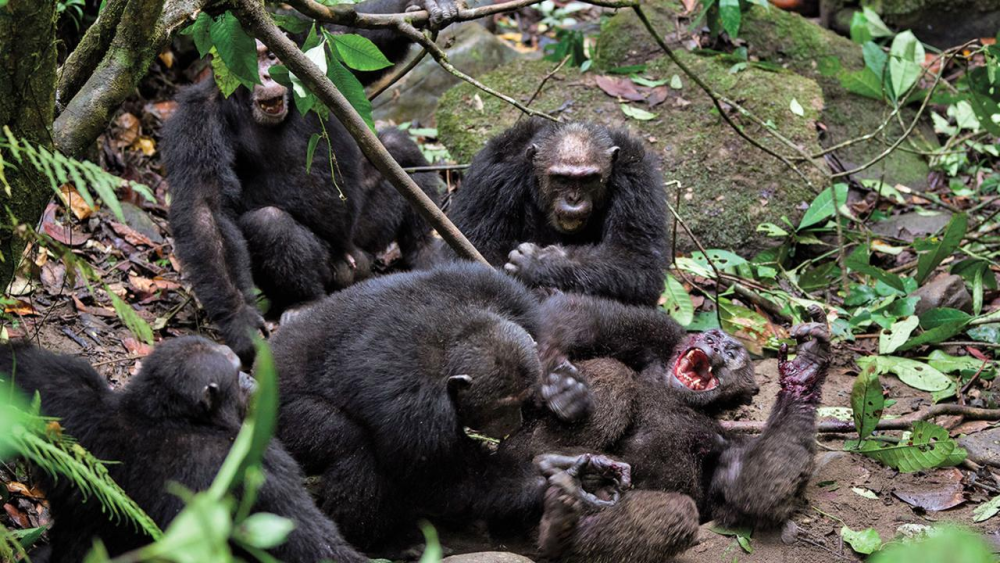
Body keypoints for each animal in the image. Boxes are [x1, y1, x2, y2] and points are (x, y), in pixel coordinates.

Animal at [0, 338, 368, 560]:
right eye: (236, 370)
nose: (250, 379)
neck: (168, 419)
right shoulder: (261, 467)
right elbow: (307, 540)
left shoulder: (72, 391)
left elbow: (20, 366)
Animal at [163, 0, 460, 366]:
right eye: (251, 59)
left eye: (271, 55)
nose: (266, 73)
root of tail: (352, 262)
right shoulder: (195, 122)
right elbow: (205, 207)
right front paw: (240, 322)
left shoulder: (306, 56)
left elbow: (353, 36)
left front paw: (426, 7)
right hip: (329, 267)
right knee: (268, 224)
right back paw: (304, 303)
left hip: (365, 233)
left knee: (396, 148)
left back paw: (424, 251)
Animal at [448, 117, 672, 306]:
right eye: (561, 179)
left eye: (588, 179)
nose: (574, 198)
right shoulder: (491, 177)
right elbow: (473, 249)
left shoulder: (638, 178)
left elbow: (636, 257)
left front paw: (538, 263)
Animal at [508, 298, 828, 560]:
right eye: (710, 336)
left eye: (732, 353)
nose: (716, 342)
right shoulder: (657, 333)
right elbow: (582, 315)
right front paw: (558, 378)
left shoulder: (727, 443)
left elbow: (755, 488)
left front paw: (807, 368)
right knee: (614, 371)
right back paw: (554, 464)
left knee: (679, 513)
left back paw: (558, 527)